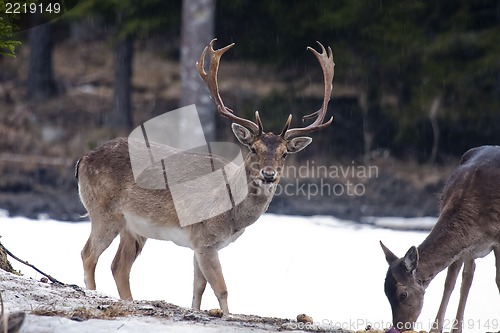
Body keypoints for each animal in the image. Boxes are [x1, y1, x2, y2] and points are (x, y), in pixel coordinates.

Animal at [77, 39, 336, 314]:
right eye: (253, 148)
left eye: (285, 153)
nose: (269, 175)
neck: (232, 215)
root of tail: (83, 159)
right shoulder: (205, 240)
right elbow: (221, 288)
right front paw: (228, 315)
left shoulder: (199, 244)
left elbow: (198, 288)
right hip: (103, 211)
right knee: (88, 254)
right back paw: (92, 294)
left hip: (134, 228)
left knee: (119, 266)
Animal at [378, 145, 500, 332]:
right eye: (385, 292)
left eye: (403, 294)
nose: (400, 325)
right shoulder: (465, 245)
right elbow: (450, 282)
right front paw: (436, 328)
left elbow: (498, 279)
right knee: (467, 276)